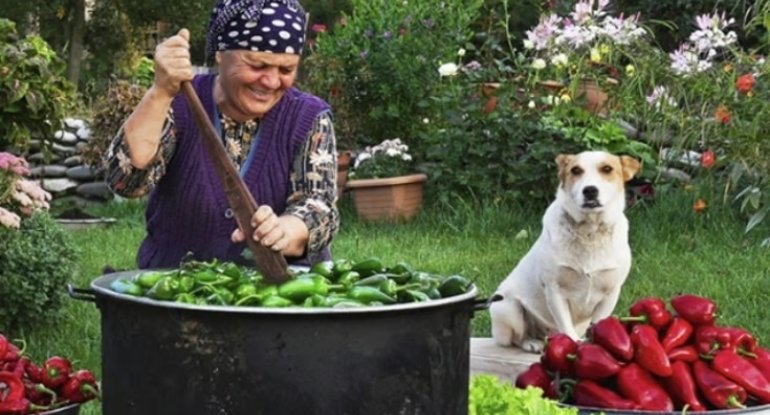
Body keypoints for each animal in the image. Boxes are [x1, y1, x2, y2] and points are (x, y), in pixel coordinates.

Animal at [488, 151, 640, 352]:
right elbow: (566, 326)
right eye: (576, 170)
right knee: (516, 338)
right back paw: (531, 342)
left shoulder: (611, 293)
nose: (590, 190)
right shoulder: (555, 290)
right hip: (506, 307)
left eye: (607, 169)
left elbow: (598, 322)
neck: (589, 232)